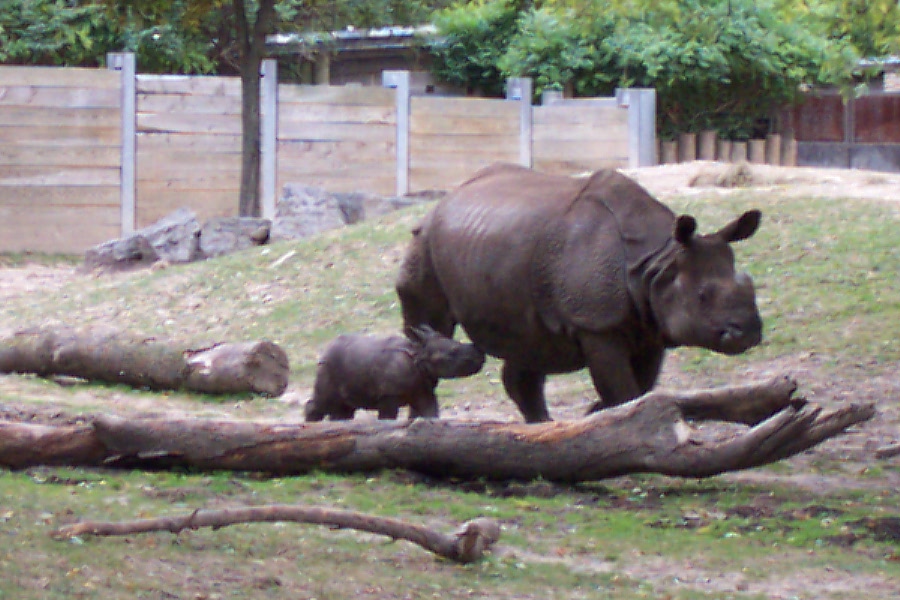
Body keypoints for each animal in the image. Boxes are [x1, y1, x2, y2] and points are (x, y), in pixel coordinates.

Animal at [304, 325, 485, 421]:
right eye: (453, 352)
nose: (480, 354)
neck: (418, 354)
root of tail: (325, 349)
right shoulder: (388, 395)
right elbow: (387, 418)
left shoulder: (423, 390)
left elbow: (430, 413)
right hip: (327, 364)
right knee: (324, 400)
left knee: (343, 409)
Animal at [396, 163, 763, 423]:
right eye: (702, 296)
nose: (747, 334)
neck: (658, 261)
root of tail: (447, 196)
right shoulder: (596, 325)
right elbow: (624, 389)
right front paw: (609, 419)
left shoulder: (650, 325)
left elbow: (643, 386)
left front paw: (596, 413)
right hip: (424, 239)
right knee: (429, 321)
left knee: (529, 341)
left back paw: (544, 427)